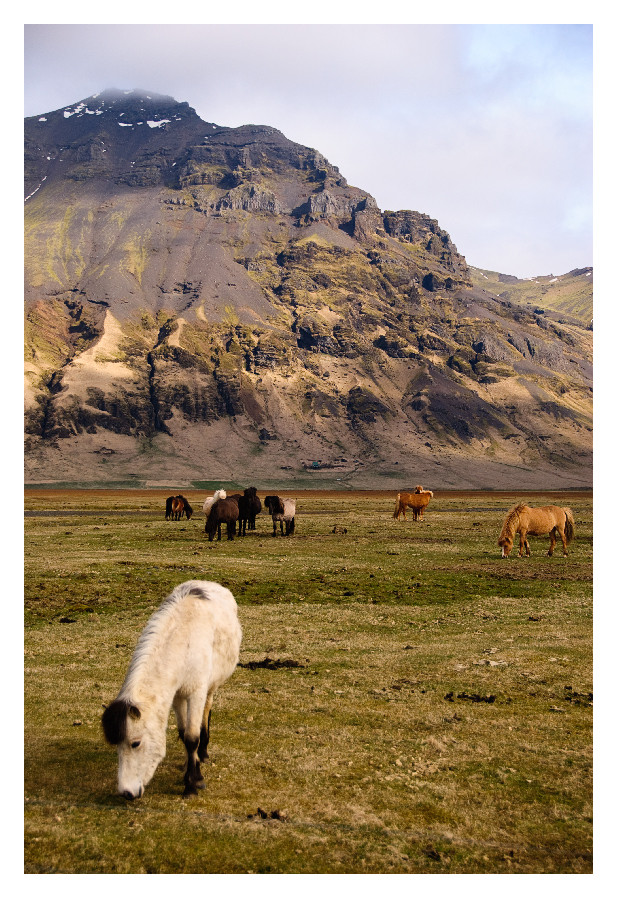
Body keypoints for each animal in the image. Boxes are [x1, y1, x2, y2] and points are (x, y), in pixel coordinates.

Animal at [102, 580, 242, 800]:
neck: (183, 640)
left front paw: (193, 784)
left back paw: (203, 753)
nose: (127, 793)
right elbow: (184, 734)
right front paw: (189, 770)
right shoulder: (176, 696)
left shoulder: (196, 693)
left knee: (206, 712)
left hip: (210, 687)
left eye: (135, 743)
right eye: (117, 745)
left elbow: (192, 737)